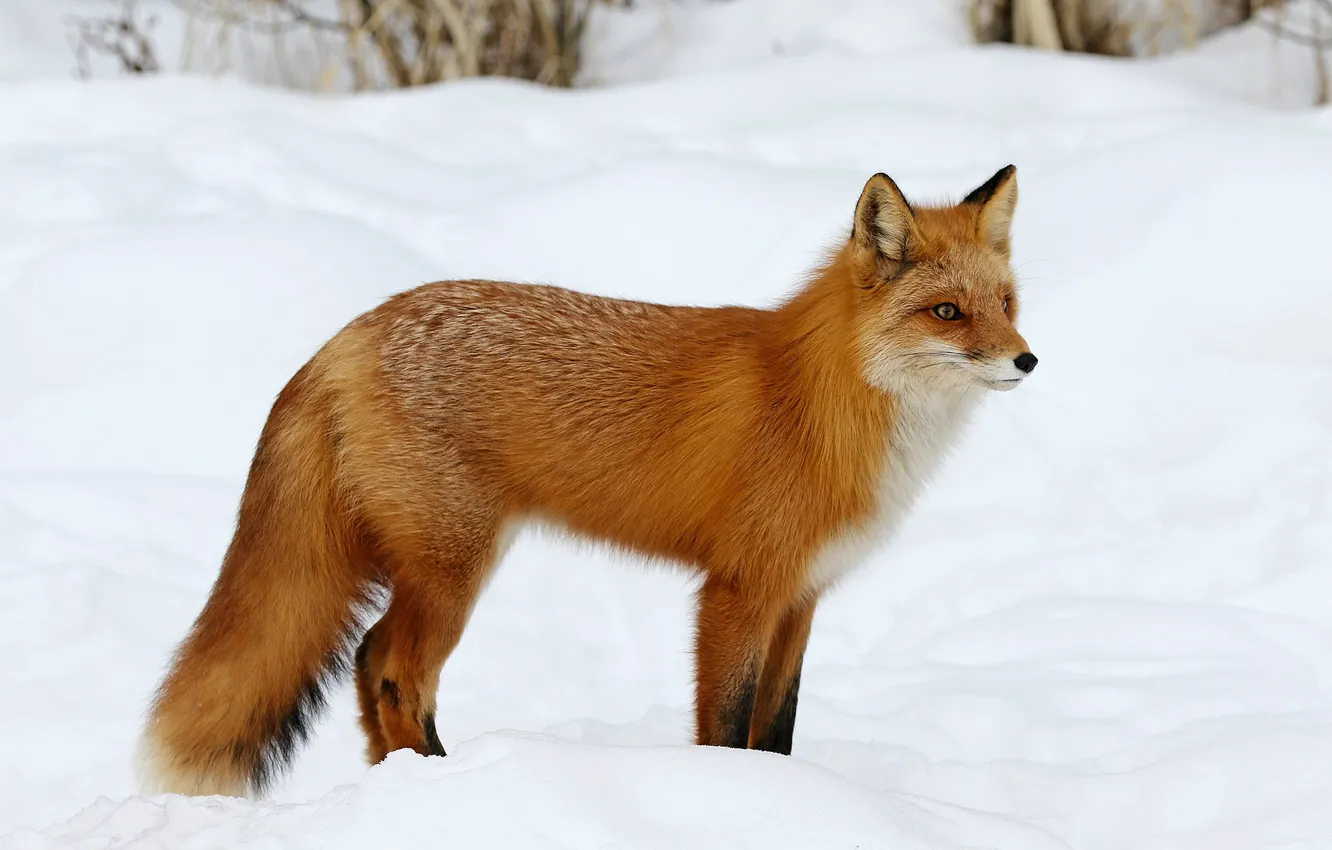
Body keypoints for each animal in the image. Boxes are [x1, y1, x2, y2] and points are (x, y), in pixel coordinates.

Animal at [140, 165, 1033, 799]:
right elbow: (726, 725)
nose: (1028, 360)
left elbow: (776, 730)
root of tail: (346, 335)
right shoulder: (738, 592)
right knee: (393, 670)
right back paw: (445, 786)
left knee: (366, 664)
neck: (825, 398)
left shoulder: (801, 596)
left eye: (1007, 303)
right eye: (947, 313)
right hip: (455, 569)